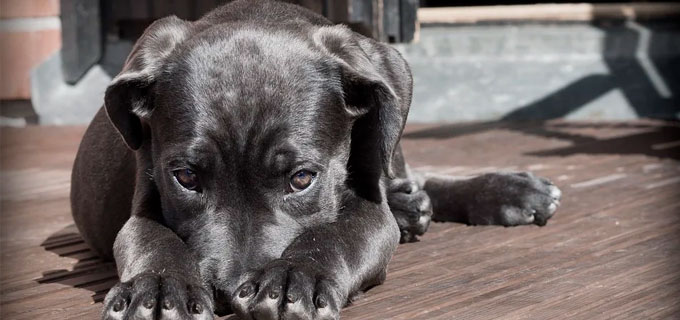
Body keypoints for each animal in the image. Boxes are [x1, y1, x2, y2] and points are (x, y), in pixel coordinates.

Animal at [69, 1, 560, 318]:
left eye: (302, 178)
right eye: (186, 176)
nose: (228, 293)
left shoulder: (368, 205)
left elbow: (338, 233)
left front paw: (293, 276)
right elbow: (150, 237)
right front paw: (159, 287)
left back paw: (507, 191)